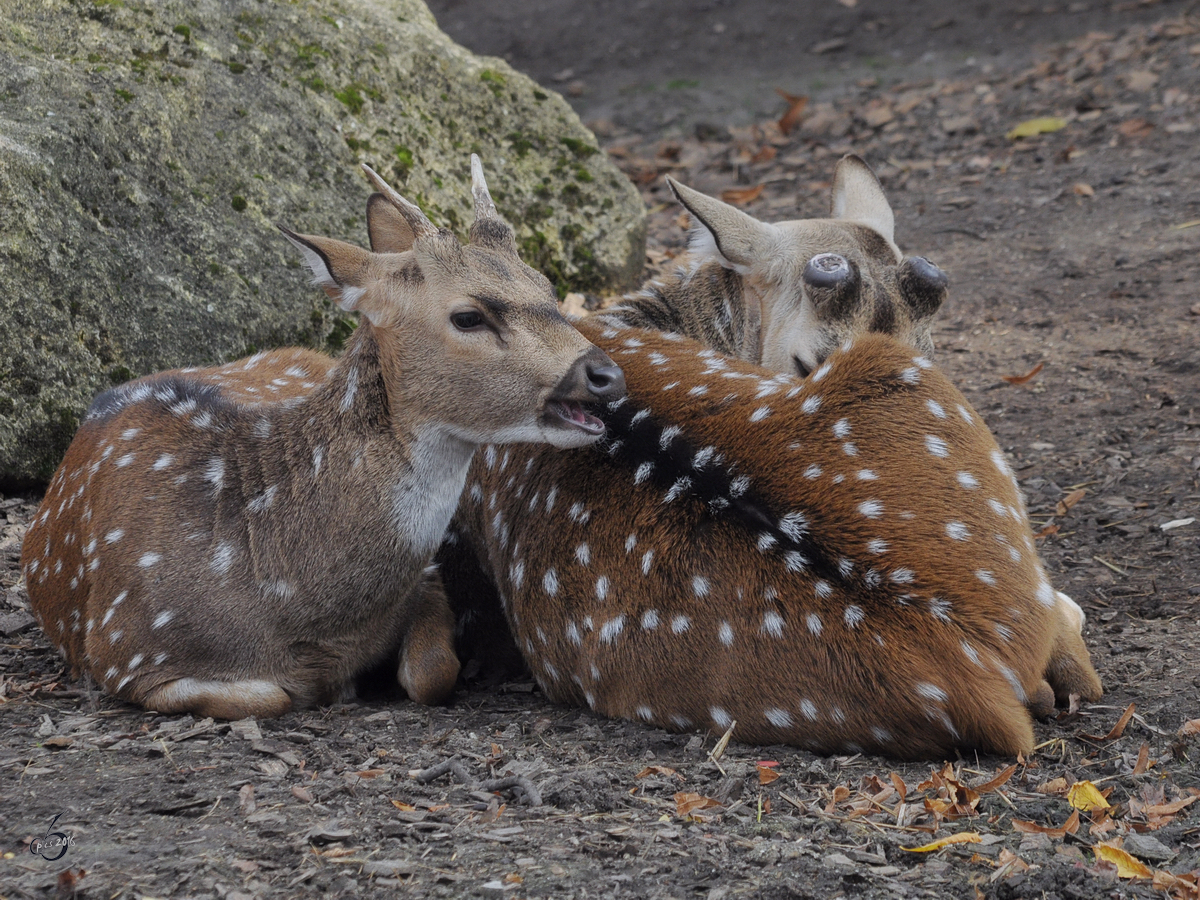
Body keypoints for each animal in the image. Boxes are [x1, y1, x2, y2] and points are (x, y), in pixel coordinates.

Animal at [21, 153, 628, 720]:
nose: (605, 374)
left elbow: (432, 672)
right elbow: (272, 694)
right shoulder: (126, 654)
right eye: (468, 316)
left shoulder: (426, 579)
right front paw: (332, 686)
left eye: (547, 286)